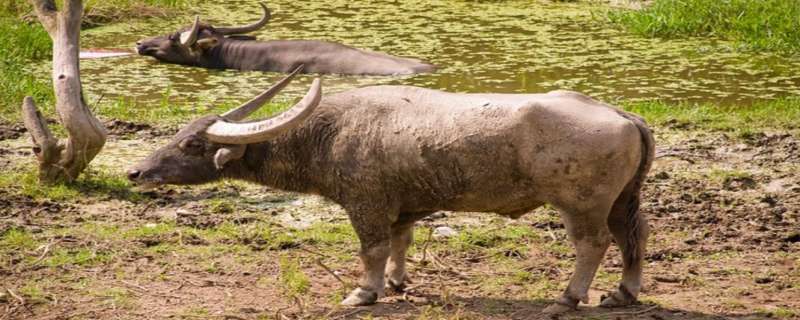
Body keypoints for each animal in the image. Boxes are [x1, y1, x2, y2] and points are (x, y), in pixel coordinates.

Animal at [128, 66, 656, 314]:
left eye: (193, 143)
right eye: (180, 133)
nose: (136, 172)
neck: (329, 132)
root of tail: (620, 114)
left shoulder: (366, 205)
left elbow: (373, 250)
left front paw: (365, 292)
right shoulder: (404, 208)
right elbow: (402, 242)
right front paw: (400, 283)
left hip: (581, 204)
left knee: (593, 243)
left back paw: (567, 298)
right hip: (624, 199)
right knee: (633, 237)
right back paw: (622, 294)